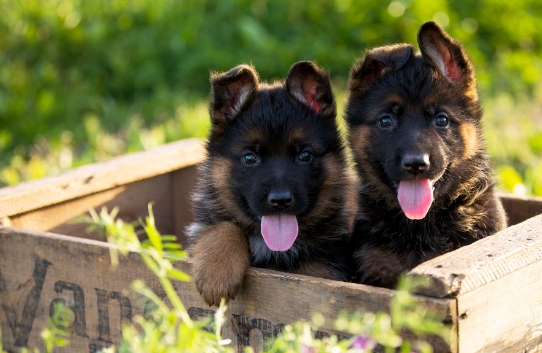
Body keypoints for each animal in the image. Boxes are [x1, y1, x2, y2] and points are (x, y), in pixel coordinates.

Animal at [190, 60, 352, 306]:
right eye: (249, 158)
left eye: (305, 155)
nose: (280, 200)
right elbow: (224, 226)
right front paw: (216, 272)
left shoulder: (324, 266)